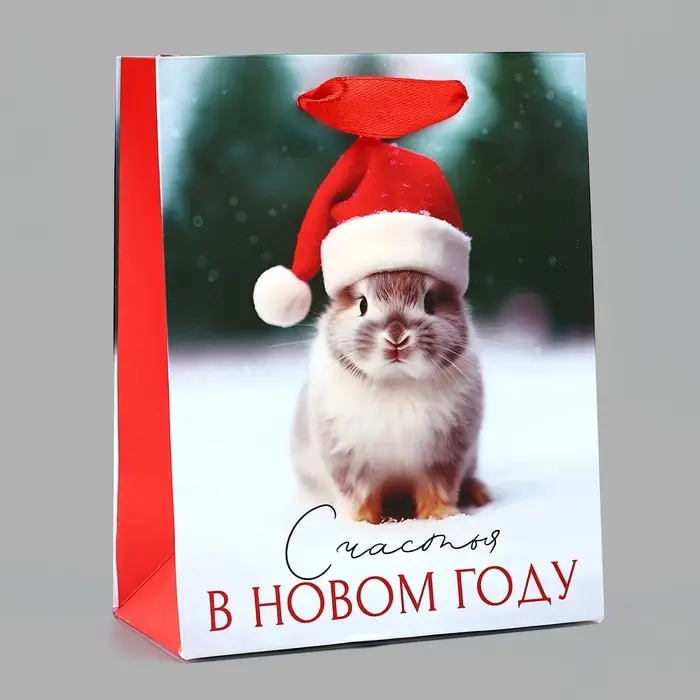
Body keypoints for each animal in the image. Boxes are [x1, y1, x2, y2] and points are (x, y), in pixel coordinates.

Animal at [291, 269, 491, 525]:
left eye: (430, 302)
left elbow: (437, 489)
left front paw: (439, 516)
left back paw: (479, 494)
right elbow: (359, 497)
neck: (397, 381)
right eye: (363, 304)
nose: (396, 337)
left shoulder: (443, 458)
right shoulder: (349, 462)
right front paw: (362, 523)